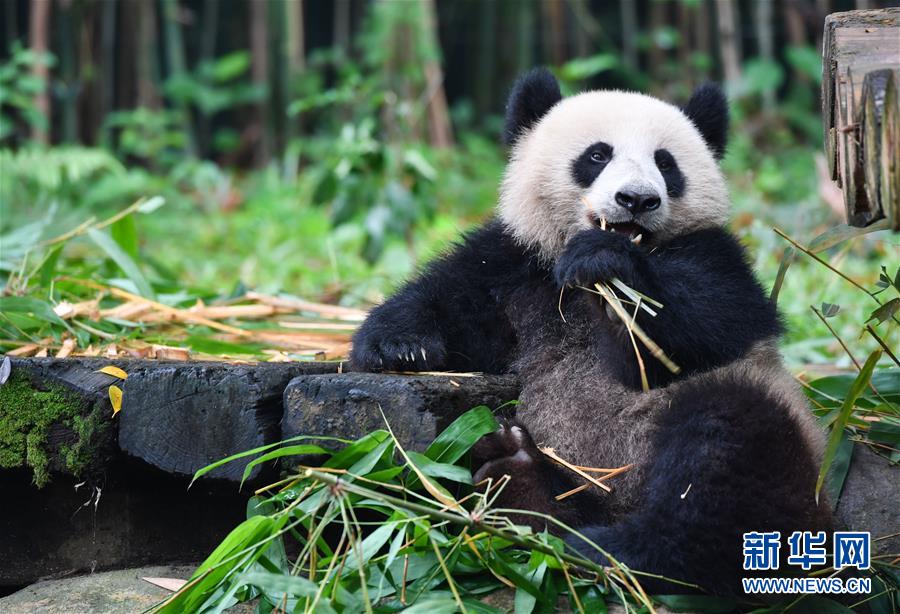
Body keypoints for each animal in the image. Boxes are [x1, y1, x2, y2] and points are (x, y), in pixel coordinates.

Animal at [350, 70, 828, 600]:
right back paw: (521, 479)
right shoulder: (515, 264)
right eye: (597, 155)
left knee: (723, 457)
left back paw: (617, 550)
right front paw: (400, 346)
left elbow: (702, 323)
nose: (637, 200)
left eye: (666, 163)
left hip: (766, 430)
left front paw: (609, 266)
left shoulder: (715, 255)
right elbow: (449, 299)